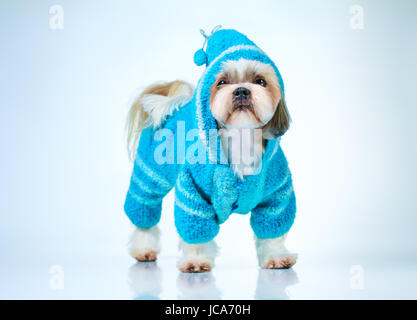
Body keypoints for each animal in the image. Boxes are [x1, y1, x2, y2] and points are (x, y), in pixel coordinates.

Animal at [123, 28, 296, 272]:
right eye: (222, 82)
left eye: (260, 81)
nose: (241, 91)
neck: (240, 137)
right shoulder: (192, 193)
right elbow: (196, 229)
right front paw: (196, 261)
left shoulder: (277, 194)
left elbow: (272, 229)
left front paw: (276, 256)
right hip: (151, 175)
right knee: (144, 210)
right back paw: (143, 248)